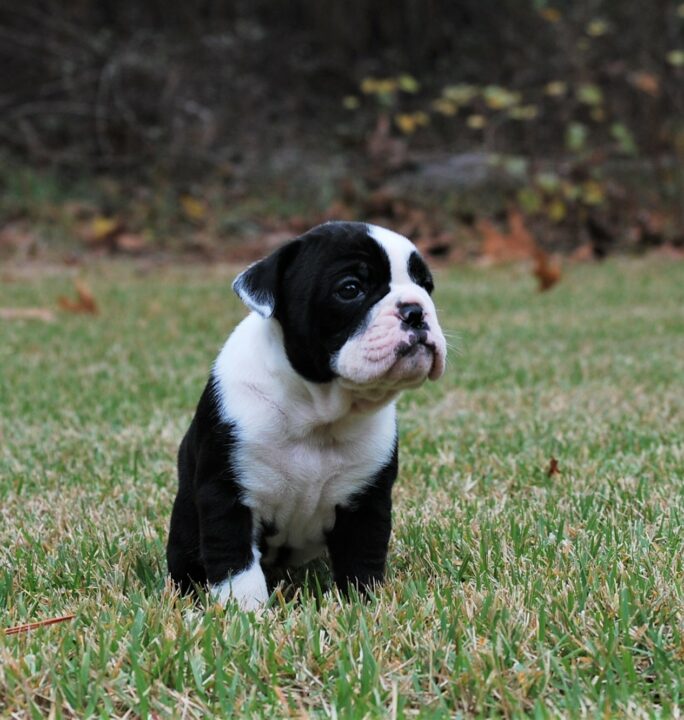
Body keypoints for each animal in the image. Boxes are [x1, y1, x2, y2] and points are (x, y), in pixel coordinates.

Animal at [165, 219, 444, 608]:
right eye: (350, 289)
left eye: (426, 286)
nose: (416, 310)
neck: (317, 411)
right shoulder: (226, 494)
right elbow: (236, 564)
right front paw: (247, 612)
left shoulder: (366, 500)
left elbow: (363, 555)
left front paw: (363, 604)